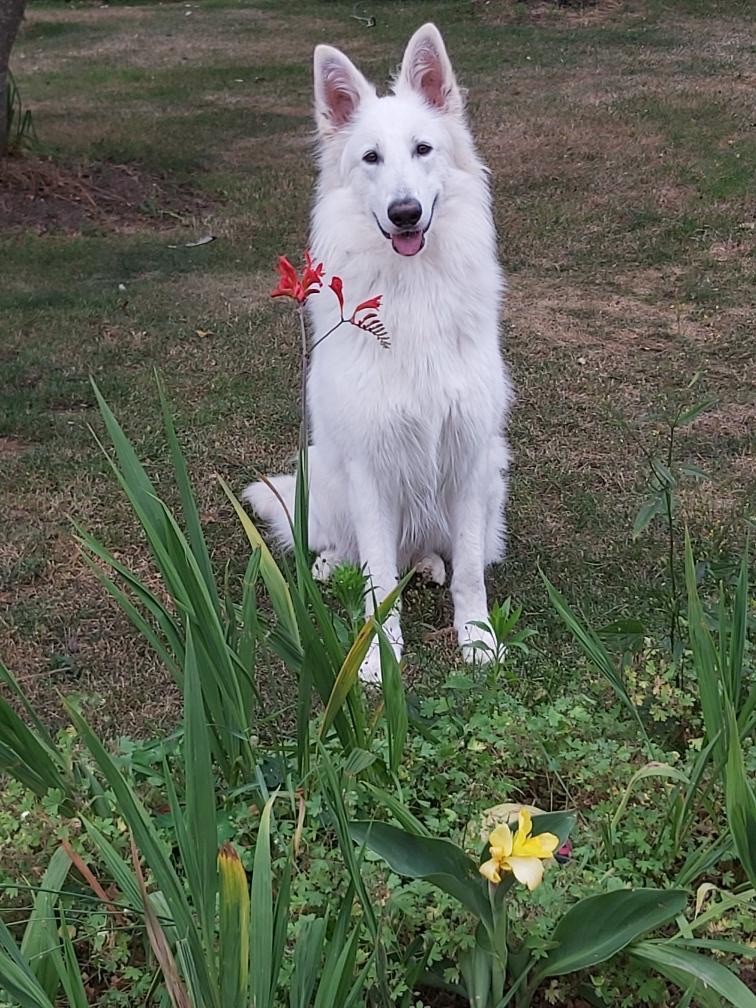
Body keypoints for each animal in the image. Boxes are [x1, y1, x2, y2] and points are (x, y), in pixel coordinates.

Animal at [245, 23, 512, 681]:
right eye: (371, 158)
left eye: (422, 149)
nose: (405, 212)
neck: (411, 295)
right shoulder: (369, 466)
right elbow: (377, 576)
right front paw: (376, 656)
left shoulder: (468, 456)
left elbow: (470, 571)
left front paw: (477, 640)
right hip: (324, 469)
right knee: (345, 547)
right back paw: (328, 564)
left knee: (433, 553)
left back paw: (429, 562)